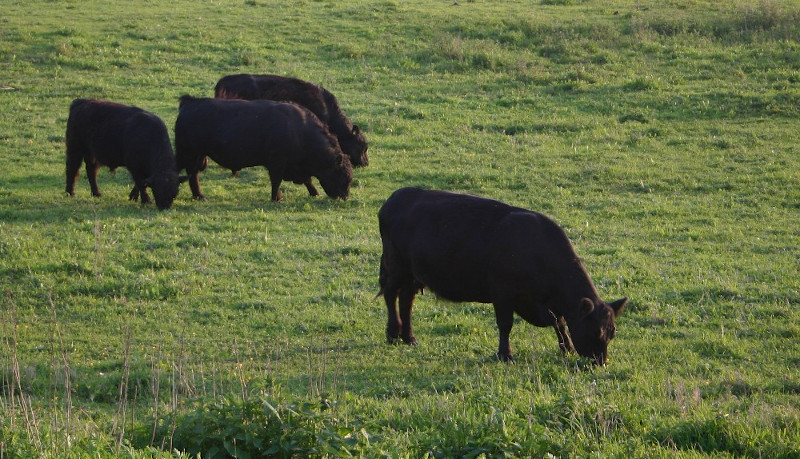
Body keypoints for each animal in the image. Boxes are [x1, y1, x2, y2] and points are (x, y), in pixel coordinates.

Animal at [175, 95, 354, 203]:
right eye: (343, 176)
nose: (344, 197)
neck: (299, 130)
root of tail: (190, 101)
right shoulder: (277, 164)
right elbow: (276, 181)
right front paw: (277, 198)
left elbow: (308, 180)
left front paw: (314, 193)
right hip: (188, 154)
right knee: (190, 175)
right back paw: (198, 195)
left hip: (197, 156)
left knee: (192, 174)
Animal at [378, 187, 628, 366]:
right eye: (595, 331)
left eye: (612, 332)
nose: (601, 362)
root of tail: (396, 196)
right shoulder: (503, 294)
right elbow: (506, 325)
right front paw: (505, 355)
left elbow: (560, 322)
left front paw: (567, 348)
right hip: (396, 266)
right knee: (391, 294)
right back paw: (392, 334)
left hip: (414, 274)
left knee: (406, 300)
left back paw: (409, 337)